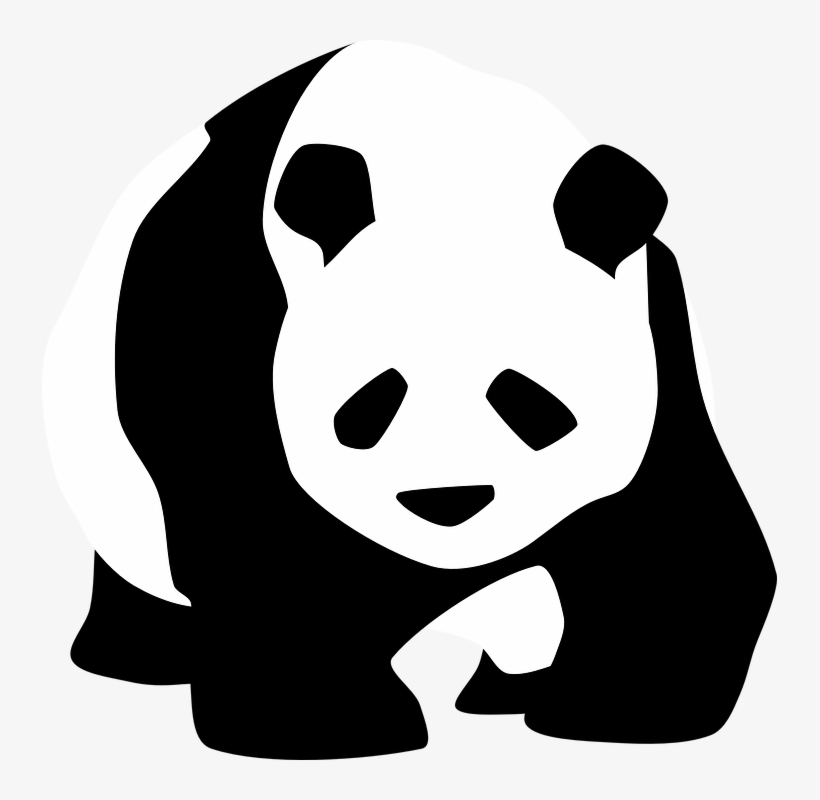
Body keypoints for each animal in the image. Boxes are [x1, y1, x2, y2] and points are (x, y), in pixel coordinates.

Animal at [43, 41, 776, 759]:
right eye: (372, 401)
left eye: (528, 400)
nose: (448, 500)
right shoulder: (220, 335)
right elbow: (275, 556)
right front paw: (331, 727)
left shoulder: (660, 345)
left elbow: (686, 542)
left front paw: (621, 715)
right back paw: (139, 659)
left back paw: (502, 692)